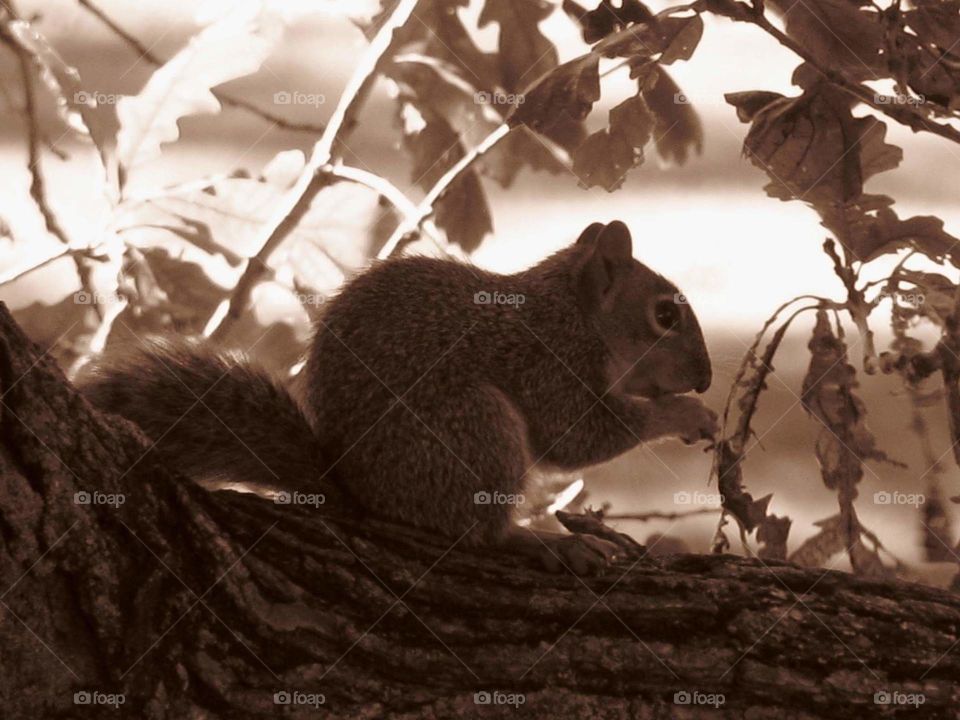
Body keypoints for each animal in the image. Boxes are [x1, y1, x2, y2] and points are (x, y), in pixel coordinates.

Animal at [80, 220, 716, 573]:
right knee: (478, 532)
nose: (707, 378)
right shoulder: (547, 362)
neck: (574, 313)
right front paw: (686, 413)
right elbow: (578, 436)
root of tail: (363, 496)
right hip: (473, 428)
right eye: (664, 315)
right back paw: (542, 542)